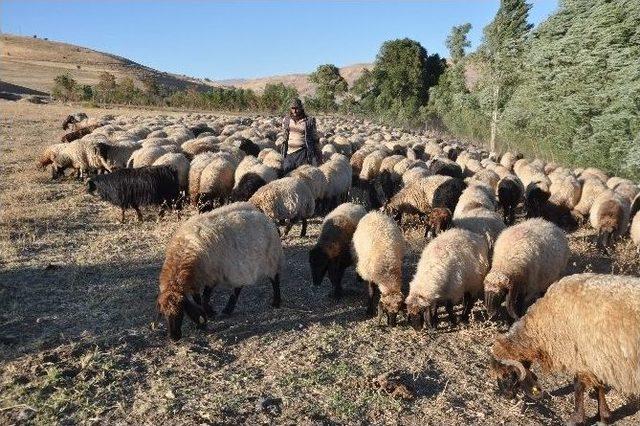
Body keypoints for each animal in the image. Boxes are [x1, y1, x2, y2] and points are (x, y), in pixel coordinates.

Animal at [156, 205, 282, 342]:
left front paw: (207, 316)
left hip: (271, 258)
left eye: (180, 312)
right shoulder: (197, 279)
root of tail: (264, 216)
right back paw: (227, 310)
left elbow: (204, 299)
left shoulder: (212, 276)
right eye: (164, 315)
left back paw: (276, 302)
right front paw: (205, 318)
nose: (174, 337)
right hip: (240, 267)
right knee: (238, 287)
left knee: (275, 279)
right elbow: (198, 300)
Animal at [490, 274, 640, 424]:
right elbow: (599, 386)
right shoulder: (596, 359)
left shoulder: (584, 355)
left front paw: (577, 419)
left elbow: (578, 386)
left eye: (506, 374)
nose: (506, 396)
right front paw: (604, 415)